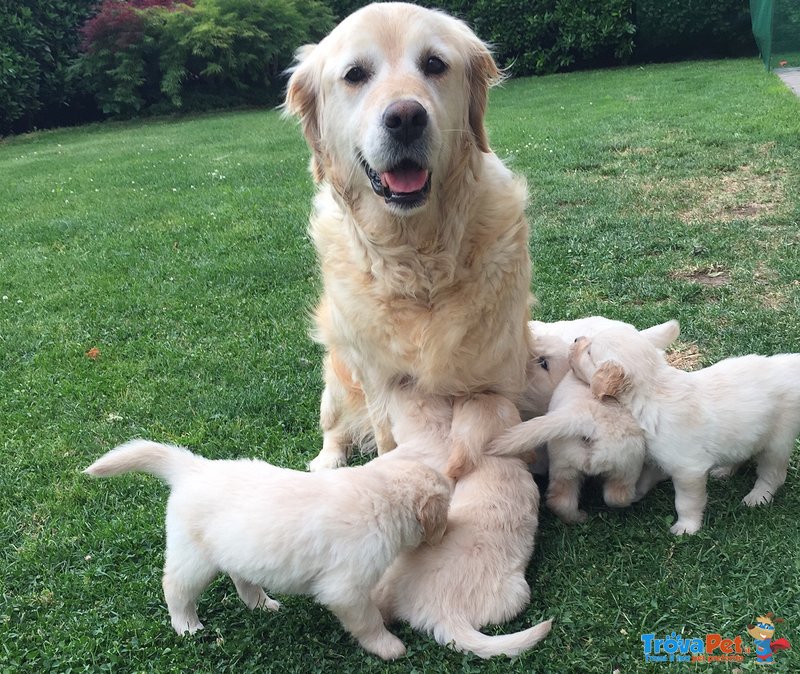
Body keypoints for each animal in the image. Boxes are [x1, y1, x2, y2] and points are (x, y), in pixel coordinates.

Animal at [86, 438, 454, 660]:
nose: (449, 530)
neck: (378, 495)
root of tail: (194, 469)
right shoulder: (345, 587)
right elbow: (366, 619)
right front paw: (388, 646)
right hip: (193, 556)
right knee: (175, 587)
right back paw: (187, 625)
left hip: (239, 549)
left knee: (241, 578)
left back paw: (262, 604)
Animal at [284, 1, 536, 472]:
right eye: (355, 74)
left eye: (434, 64)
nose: (405, 118)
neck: (418, 257)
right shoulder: (378, 377)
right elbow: (388, 440)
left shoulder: (501, 365)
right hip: (337, 376)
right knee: (334, 428)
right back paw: (327, 462)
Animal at [568, 322, 800, 532]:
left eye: (589, 352)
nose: (575, 339)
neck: (652, 392)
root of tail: (788, 365)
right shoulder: (658, 459)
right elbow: (643, 480)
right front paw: (632, 495)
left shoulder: (688, 469)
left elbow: (686, 502)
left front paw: (687, 527)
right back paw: (724, 470)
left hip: (777, 442)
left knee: (773, 474)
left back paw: (757, 497)